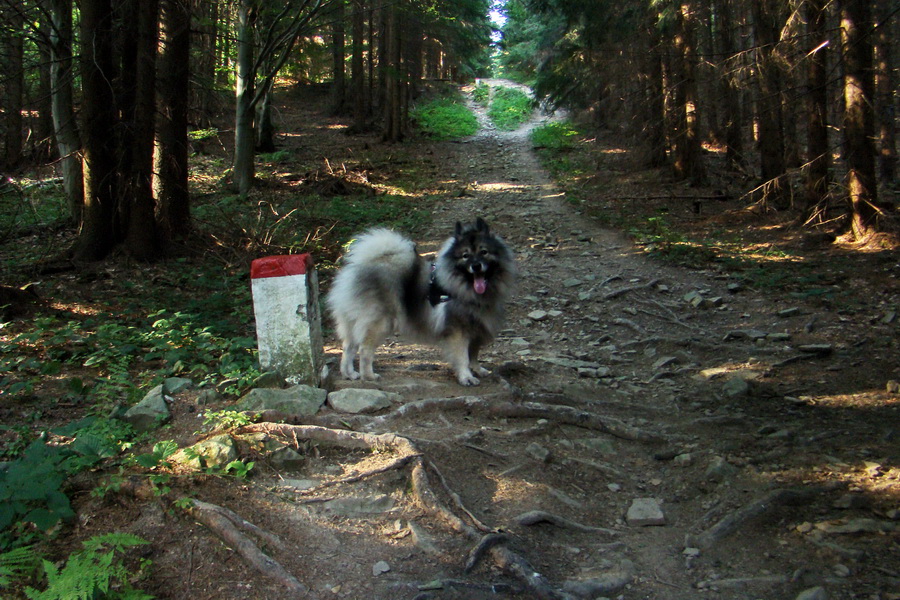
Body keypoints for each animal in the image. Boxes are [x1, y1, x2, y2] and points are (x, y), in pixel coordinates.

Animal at [328, 218, 512, 386]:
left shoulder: (476, 328)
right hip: (379, 322)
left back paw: (349, 374)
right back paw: (368, 376)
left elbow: (473, 354)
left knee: (348, 347)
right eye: (465, 256)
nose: (476, 266)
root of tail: (358, 269)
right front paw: (466, 377)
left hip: (353, 321)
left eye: (484, 252)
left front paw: (478, 370)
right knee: (364, 349)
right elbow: (462, 357)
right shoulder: (458, 330)